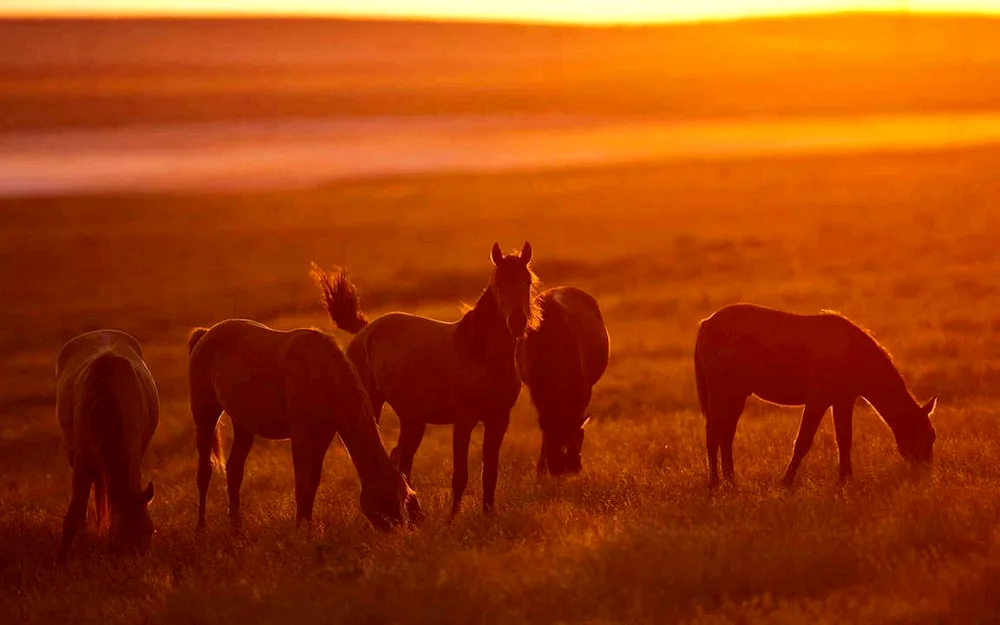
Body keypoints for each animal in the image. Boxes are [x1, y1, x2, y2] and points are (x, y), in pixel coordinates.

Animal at [55, 332, 158, 560]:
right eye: (121, 534)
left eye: (150, 531)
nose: (139, 560)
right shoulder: (81, 462)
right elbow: (73, 513)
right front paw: (60, 559)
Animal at [188, 316, 418, 532]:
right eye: (387, 500)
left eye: (404, 498)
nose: (398, 532)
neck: (321, 375)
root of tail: (206, 333)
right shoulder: (302, 435)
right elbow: (303, 484)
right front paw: (301, 531)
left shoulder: (323, 433)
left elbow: (312, 482)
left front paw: (306, 525)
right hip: (205, 417)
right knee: (204, 471)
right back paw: (201, 527)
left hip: (244, 424)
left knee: (234, 470)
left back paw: (236, 529)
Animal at [316, 241, 540, 516]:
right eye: (498, 283)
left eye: (527, 281)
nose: (517, 323)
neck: (481, 357)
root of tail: (364, 330)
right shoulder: (464, 420)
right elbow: (460, 475)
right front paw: (452, 519)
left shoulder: (499, 420)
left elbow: (489, 473)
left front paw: (488, 516)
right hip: (376, 407)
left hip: (413, 419)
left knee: (401, 459)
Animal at [516, 286, 608, 472]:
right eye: (552, 438)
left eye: (579, 437)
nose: (563, 468)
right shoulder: (537, 393)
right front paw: (541, 468)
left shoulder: (583, 390)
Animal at [696, 302, 936, 488]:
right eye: (925, 435)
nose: (926, 472)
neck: (855, 353)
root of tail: (707, 323)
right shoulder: (817, 401)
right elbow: (803, 441)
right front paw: (786, 482)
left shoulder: (843, 401)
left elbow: (845, 439)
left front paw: (845, 480)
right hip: (722, 392)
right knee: (713, 432)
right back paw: (714, 483)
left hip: (736, 395)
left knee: (726, 434)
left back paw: (730, 481)